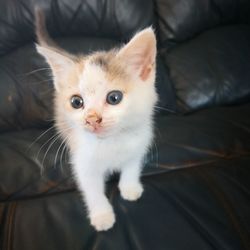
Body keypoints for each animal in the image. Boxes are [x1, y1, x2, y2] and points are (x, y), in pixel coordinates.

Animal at [35, 11, 157, 230]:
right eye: (76, 102)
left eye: (114, 98)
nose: (92, 119)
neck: (112, 142)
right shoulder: (83, 162)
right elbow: (92, 190)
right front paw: (102, 215)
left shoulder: (139, 143)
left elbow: (132, 165)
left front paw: (130, 187)